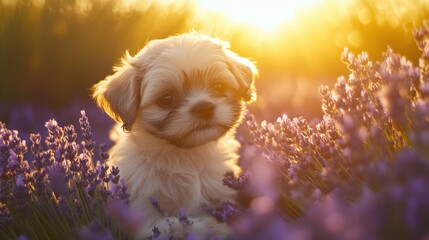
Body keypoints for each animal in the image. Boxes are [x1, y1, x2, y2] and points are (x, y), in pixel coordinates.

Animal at [91, 32, 256, 239]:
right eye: (167, 99)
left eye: (218, 87)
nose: (204, 107)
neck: (184, 155)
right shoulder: (144, 208)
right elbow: (170, 225)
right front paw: (200, 226)